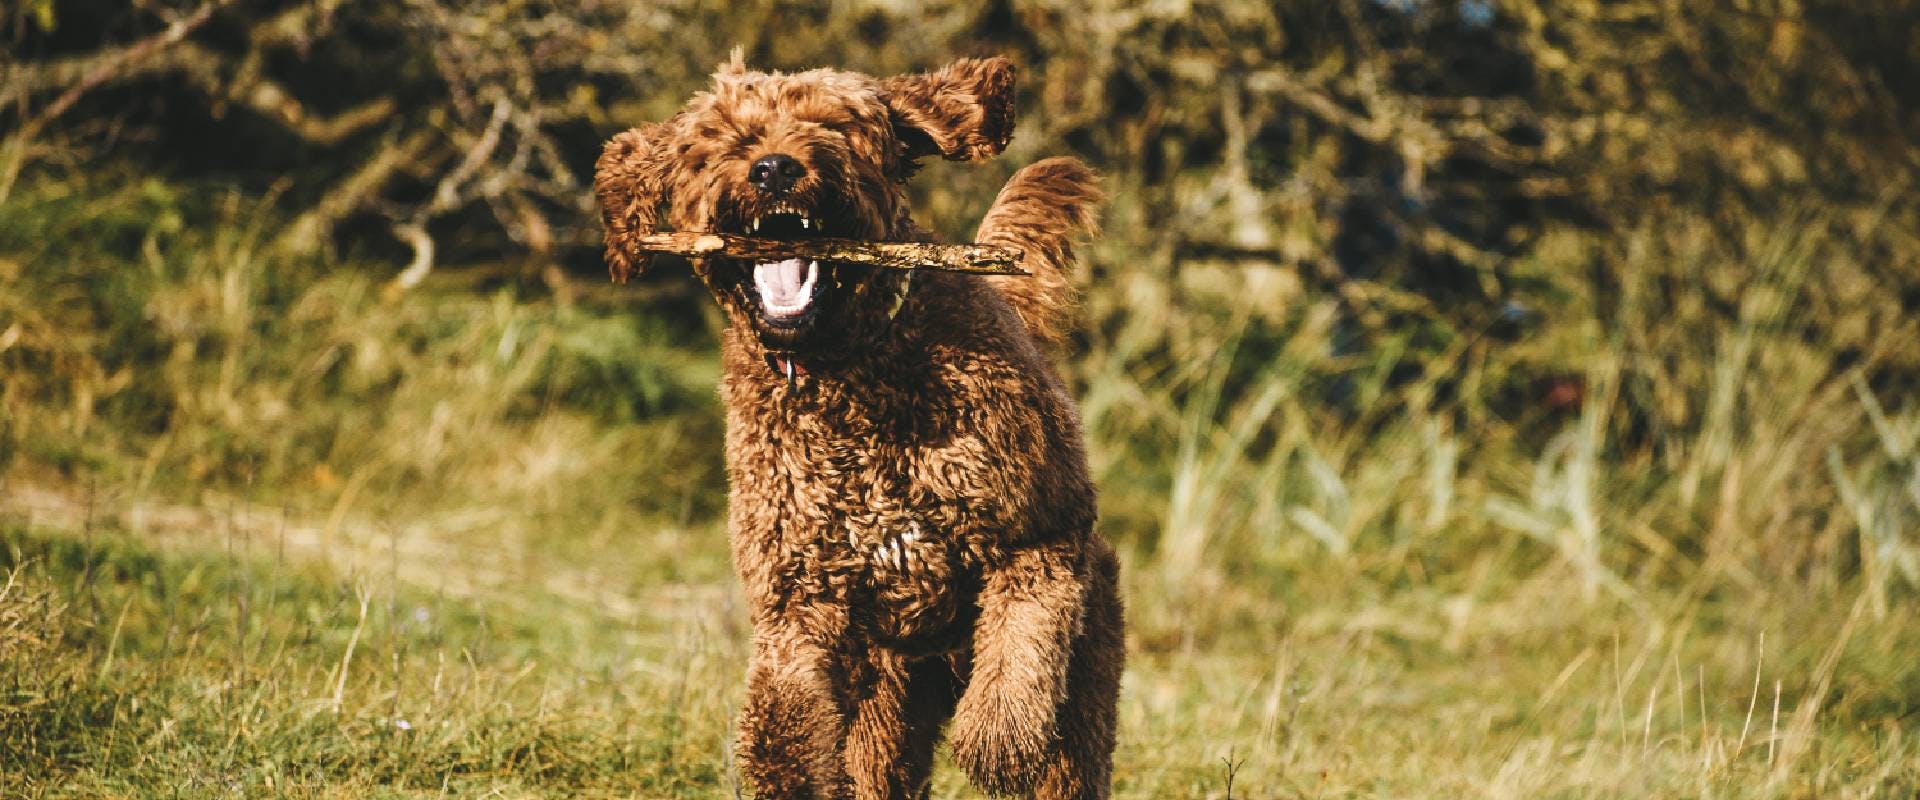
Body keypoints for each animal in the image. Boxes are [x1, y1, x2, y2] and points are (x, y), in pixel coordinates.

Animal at [591, 51, 1121, 798]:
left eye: (834, 125)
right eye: (721, 139)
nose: (773, 169)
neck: (847, 372)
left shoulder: (1042, 535)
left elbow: (1021, 642)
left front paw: (997, 737)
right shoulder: (799, 598)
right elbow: (782, 722)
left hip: (1084, 650)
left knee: (1068, 745)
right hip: (887, 698)